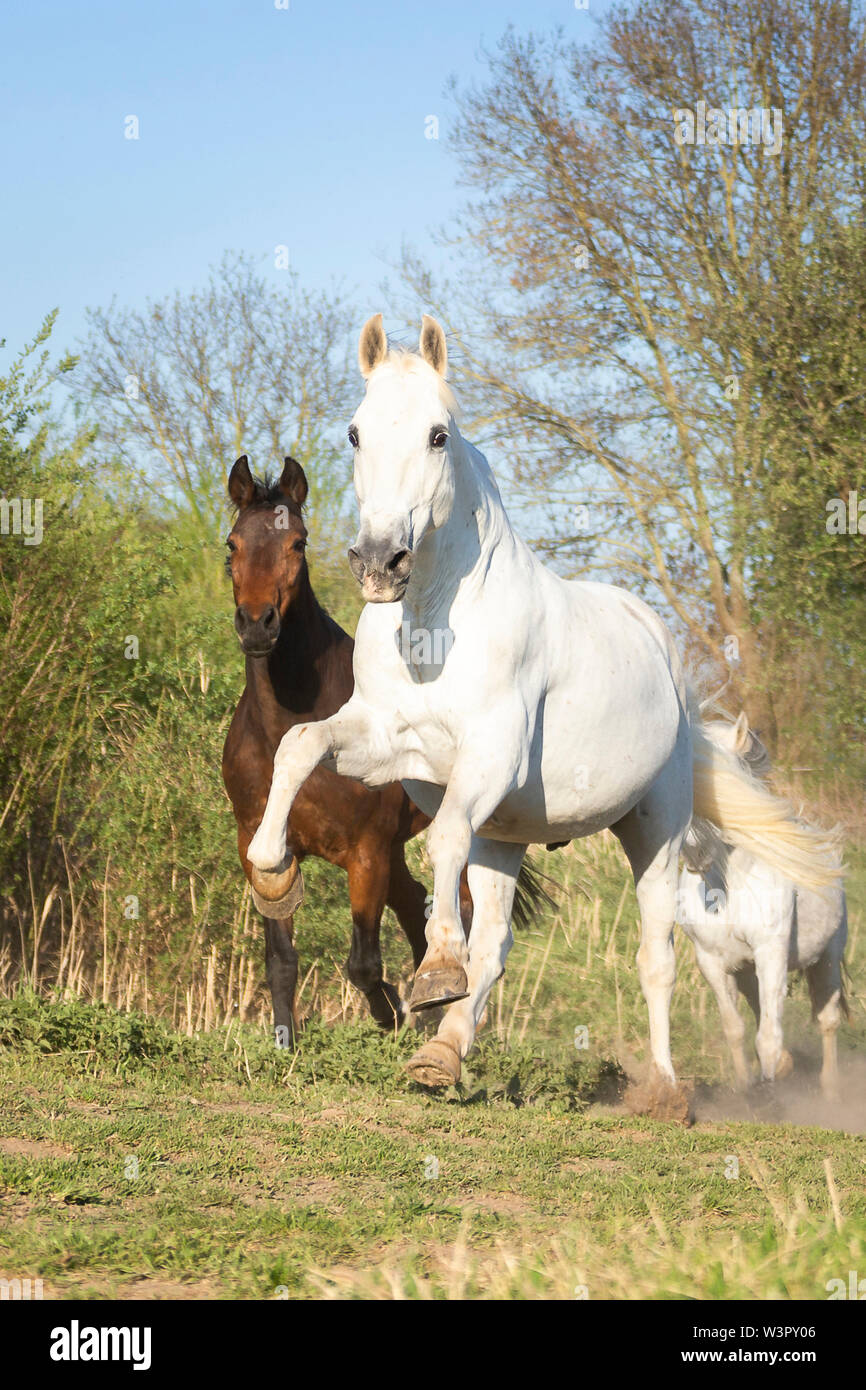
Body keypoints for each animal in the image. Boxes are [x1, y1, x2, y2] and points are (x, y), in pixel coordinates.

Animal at [223, 455, 439, 1045]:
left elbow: (364, 964)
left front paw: (392, 1015)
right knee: (419, 912)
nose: (257, 625)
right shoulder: (259, 844)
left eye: (297, 543)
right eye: (232, 543)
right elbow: (281, 960)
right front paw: (285, 1044)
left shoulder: (367, 851)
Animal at [678, 711, 845, 1100]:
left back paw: (831, 1091)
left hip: (828, 955)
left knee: (827, 1020)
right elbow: (735, 1029)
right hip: (747, 971)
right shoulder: (711, 961)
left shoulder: (771, 951)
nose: (695, 855)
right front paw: (746, 1089)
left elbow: (769, 1037)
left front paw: (774, 1089)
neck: (728, 886)